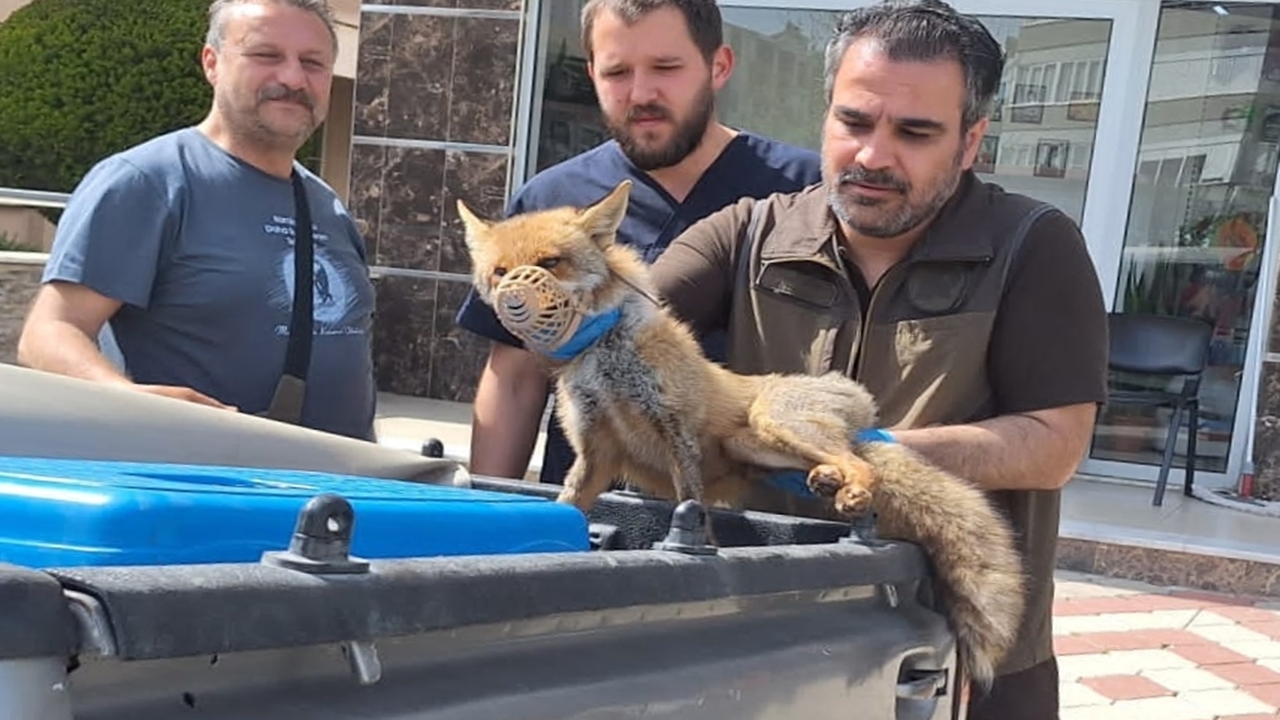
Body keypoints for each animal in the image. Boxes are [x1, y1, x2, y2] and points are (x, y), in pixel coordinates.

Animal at [460, 178, 1029, 681]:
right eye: (500, 272)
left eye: (550, 263)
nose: (513, 300)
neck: (605, 356)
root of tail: (858, 402)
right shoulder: (597, 452)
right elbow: (570, 507)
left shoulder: (677, 435)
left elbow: (696, 513)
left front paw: (696, 555)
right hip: (752, 442)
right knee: (838, 461)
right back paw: (825, 481)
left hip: (774, 420)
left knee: (861, 463)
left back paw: (850, 489)